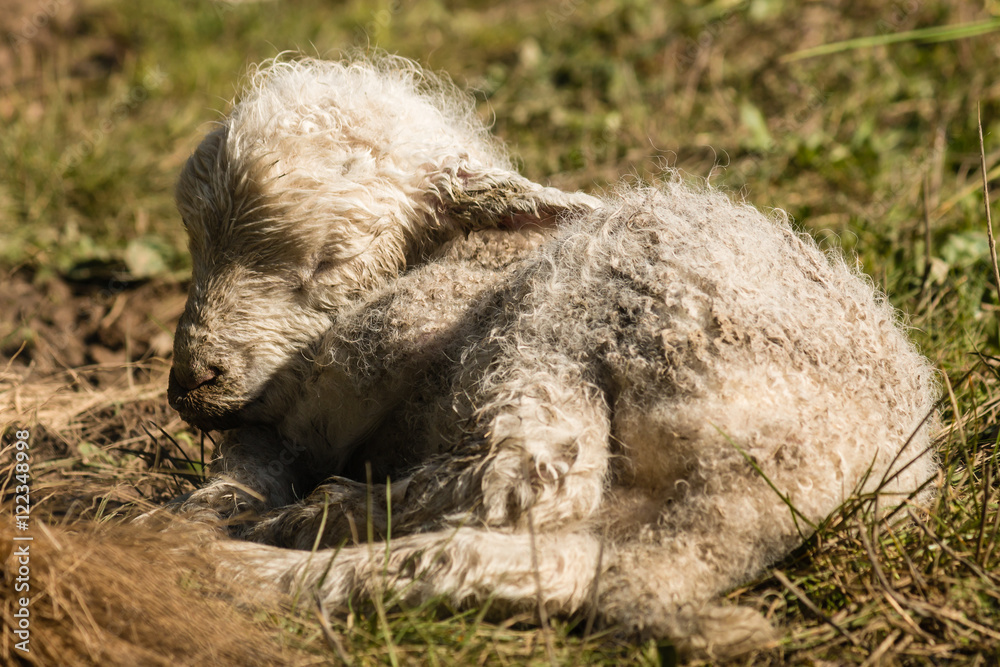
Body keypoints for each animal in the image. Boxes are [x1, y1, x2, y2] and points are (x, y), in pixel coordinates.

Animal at [161, 56, 939, 658]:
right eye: (196, 248)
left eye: (327, 261)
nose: (189, 383)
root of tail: (857, 460)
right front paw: (202, 510)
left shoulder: (380, 341)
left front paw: (233, 508)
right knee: (555, 560)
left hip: (571, 325)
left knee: (520, 482)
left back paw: (282, 533)